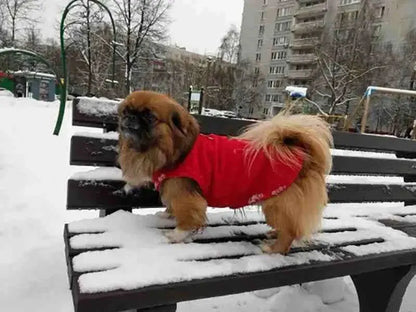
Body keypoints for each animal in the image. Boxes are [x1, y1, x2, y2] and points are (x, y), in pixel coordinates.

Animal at [118, 90, 334, 254]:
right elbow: (171, 206)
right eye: (126, 110)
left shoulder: (184, 195)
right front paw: (166, 214)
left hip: (278, 205)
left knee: (290, 231)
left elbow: (187, 217)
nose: (129, 116)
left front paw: (175, 235)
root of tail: (304, 156)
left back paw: (273, 249)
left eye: (149, 116)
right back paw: (274, 234)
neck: (175, 151)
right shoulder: (173, 189)